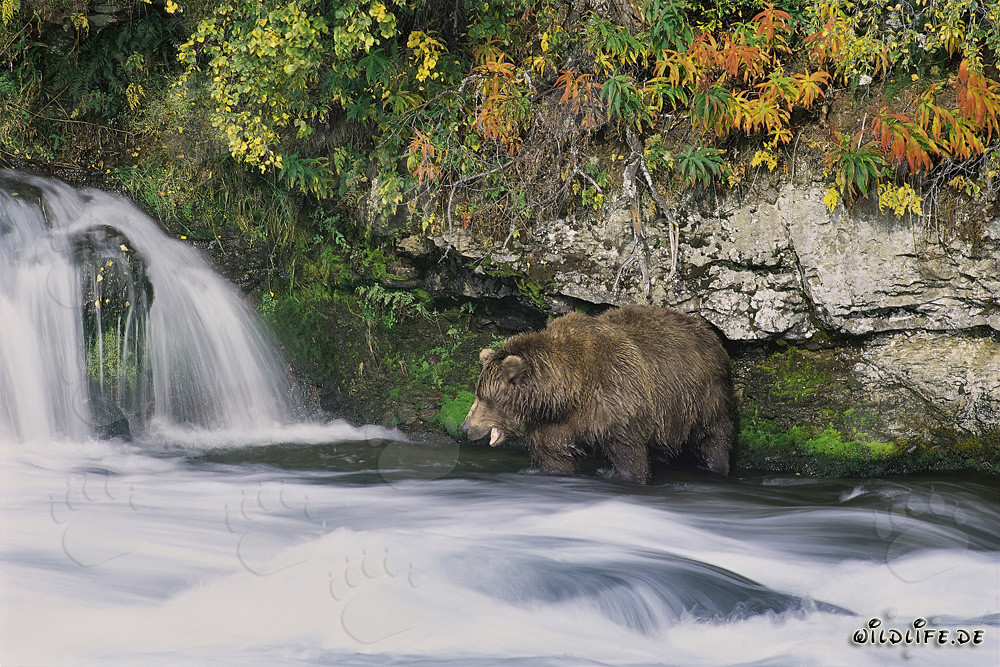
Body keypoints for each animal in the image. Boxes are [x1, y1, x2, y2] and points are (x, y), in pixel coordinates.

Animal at [461, 304, 734, 483]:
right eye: (478, 393)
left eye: (485, 397)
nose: (465, 427)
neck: (569, 390)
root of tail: (707, 331)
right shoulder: (554, 423)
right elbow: (554, 456)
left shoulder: (618, 401)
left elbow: (628, 454)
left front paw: (631, 476)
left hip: (703, 394)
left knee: (714, 435)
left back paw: (717, 467)